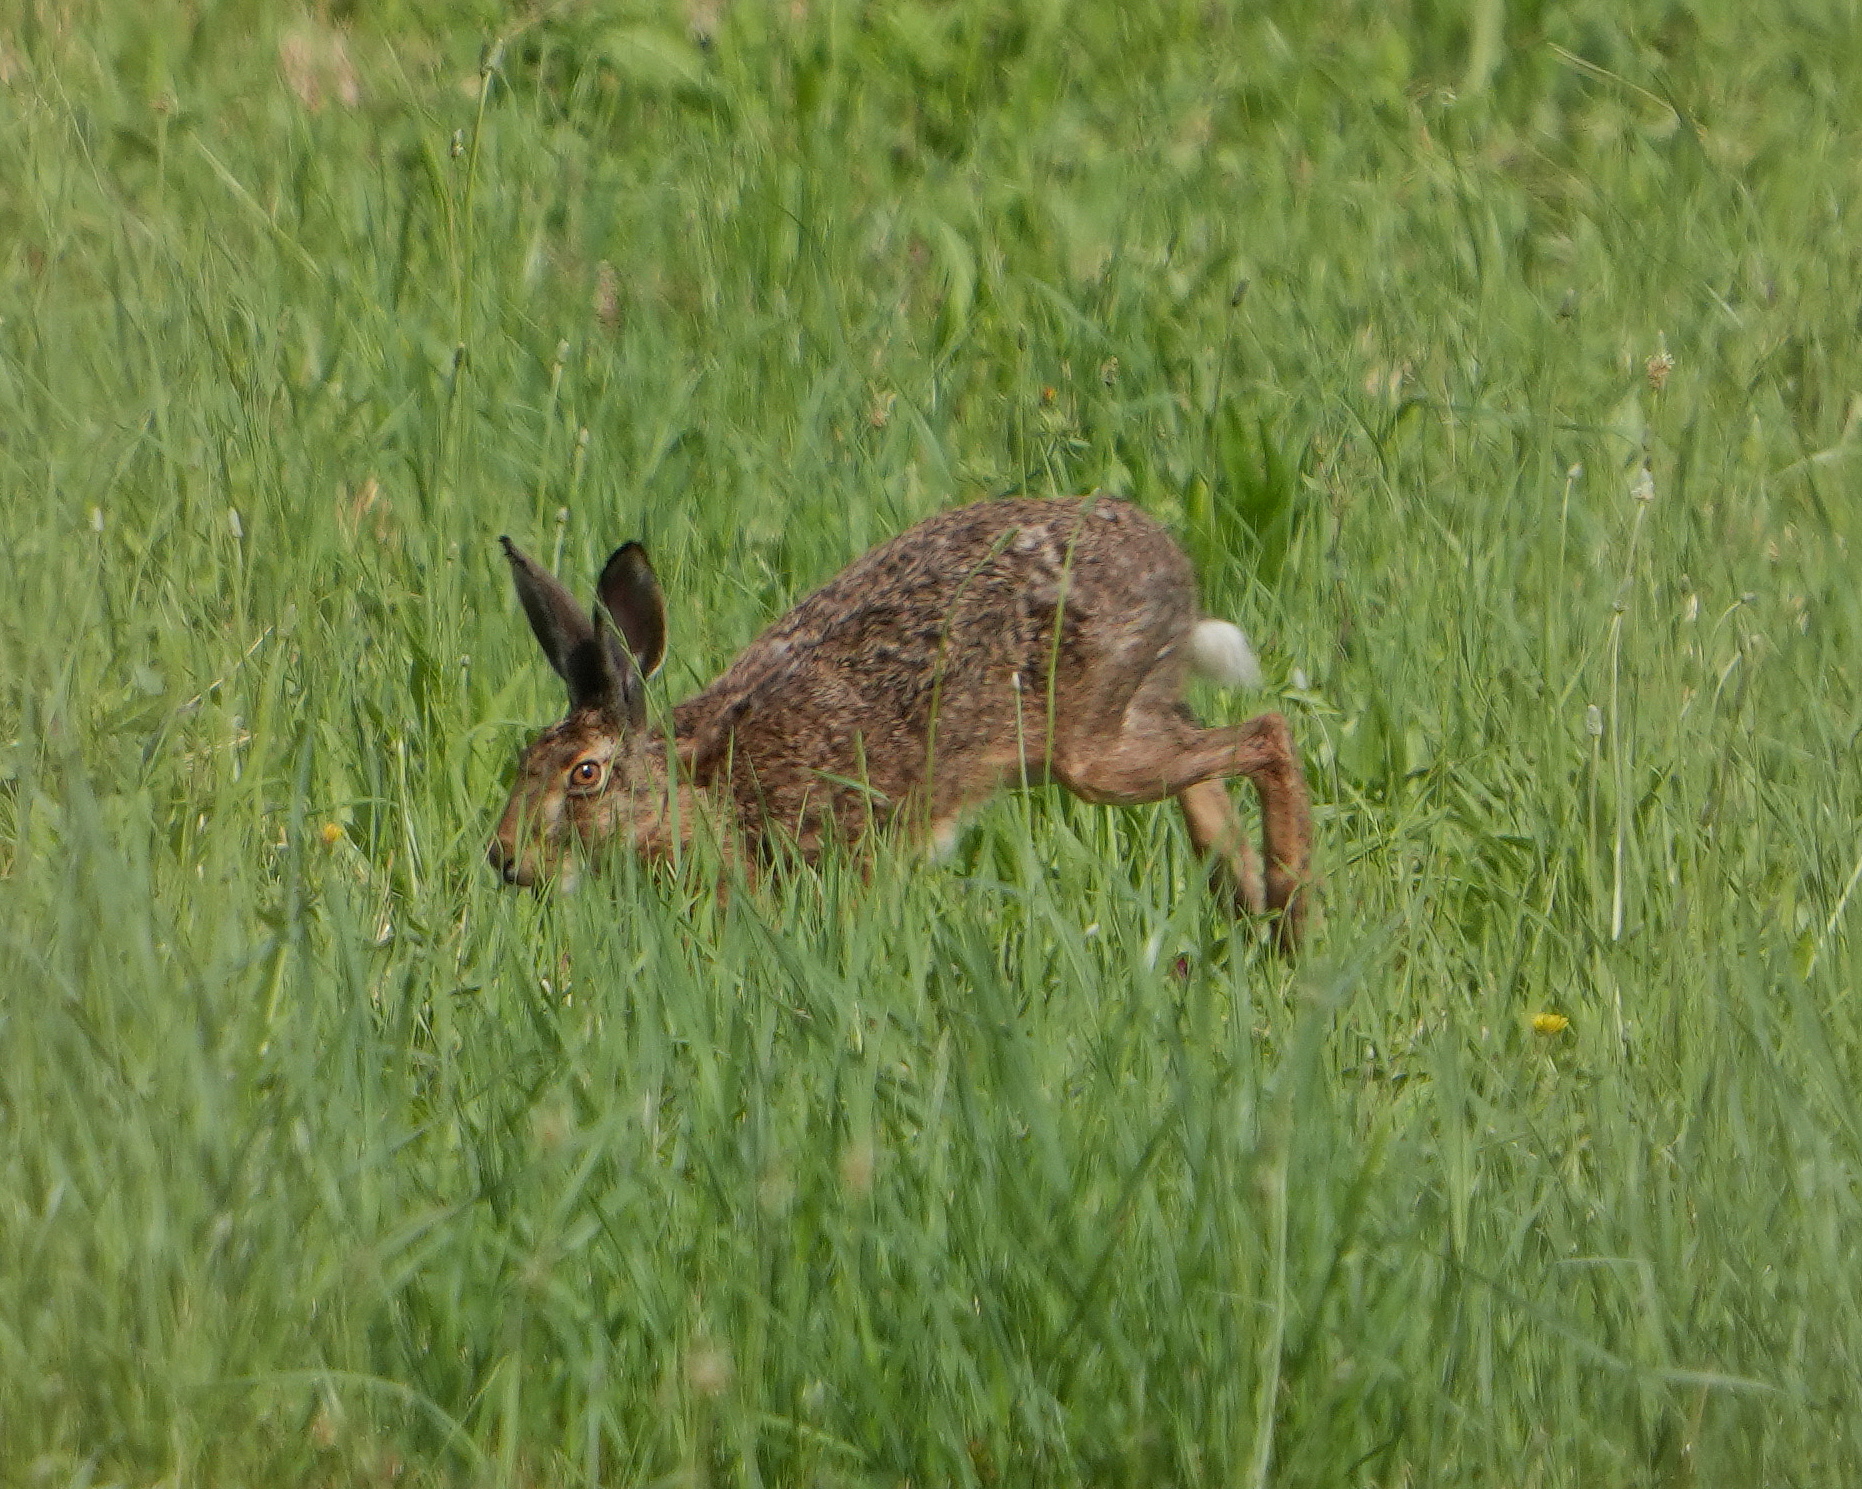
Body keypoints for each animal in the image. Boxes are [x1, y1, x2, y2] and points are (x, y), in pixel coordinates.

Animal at [490, 494, 1313, 946]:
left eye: (585, 773)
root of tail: (1170, 569)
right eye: (526, 760)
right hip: (1130, 718)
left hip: (1091, 749)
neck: (685, 787)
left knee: (1267, 736)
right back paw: (1265, 926)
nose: (503, 859)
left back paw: (1293, 910)